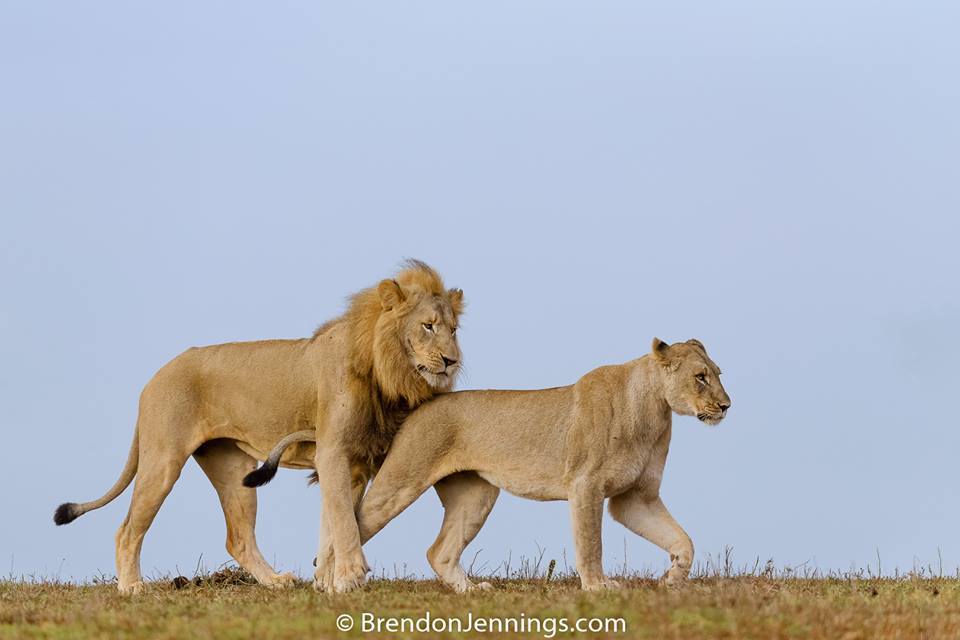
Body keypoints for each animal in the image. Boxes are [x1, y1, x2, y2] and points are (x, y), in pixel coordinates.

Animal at [52, 260, 464, 596]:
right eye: (428, 326)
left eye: (454, 330)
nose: (451, 361)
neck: (388, 372)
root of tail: (155, 377)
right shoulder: (333, 452)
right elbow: (344, 522)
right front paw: (349, 577)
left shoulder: (357, 463)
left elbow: (333, 524)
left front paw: (326, 580)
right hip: (163, 460)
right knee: (127, 529)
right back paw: (131, 586)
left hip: (235, 471)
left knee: (238, 538)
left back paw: (275, 581)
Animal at [258, 338, 732, 592]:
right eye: (700, 377)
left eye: (719, 373)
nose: (727, 405)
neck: (655, 411)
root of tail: (416, 408)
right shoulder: (586, 485)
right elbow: (591, 543)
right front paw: (598, 587)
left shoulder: (635, 497)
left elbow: (684, 540)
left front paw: (672, 580)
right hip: (401, 482)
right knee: (353, 522)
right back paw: (334, 584)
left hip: (477, 494)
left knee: (438, 551)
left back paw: (470, 591)